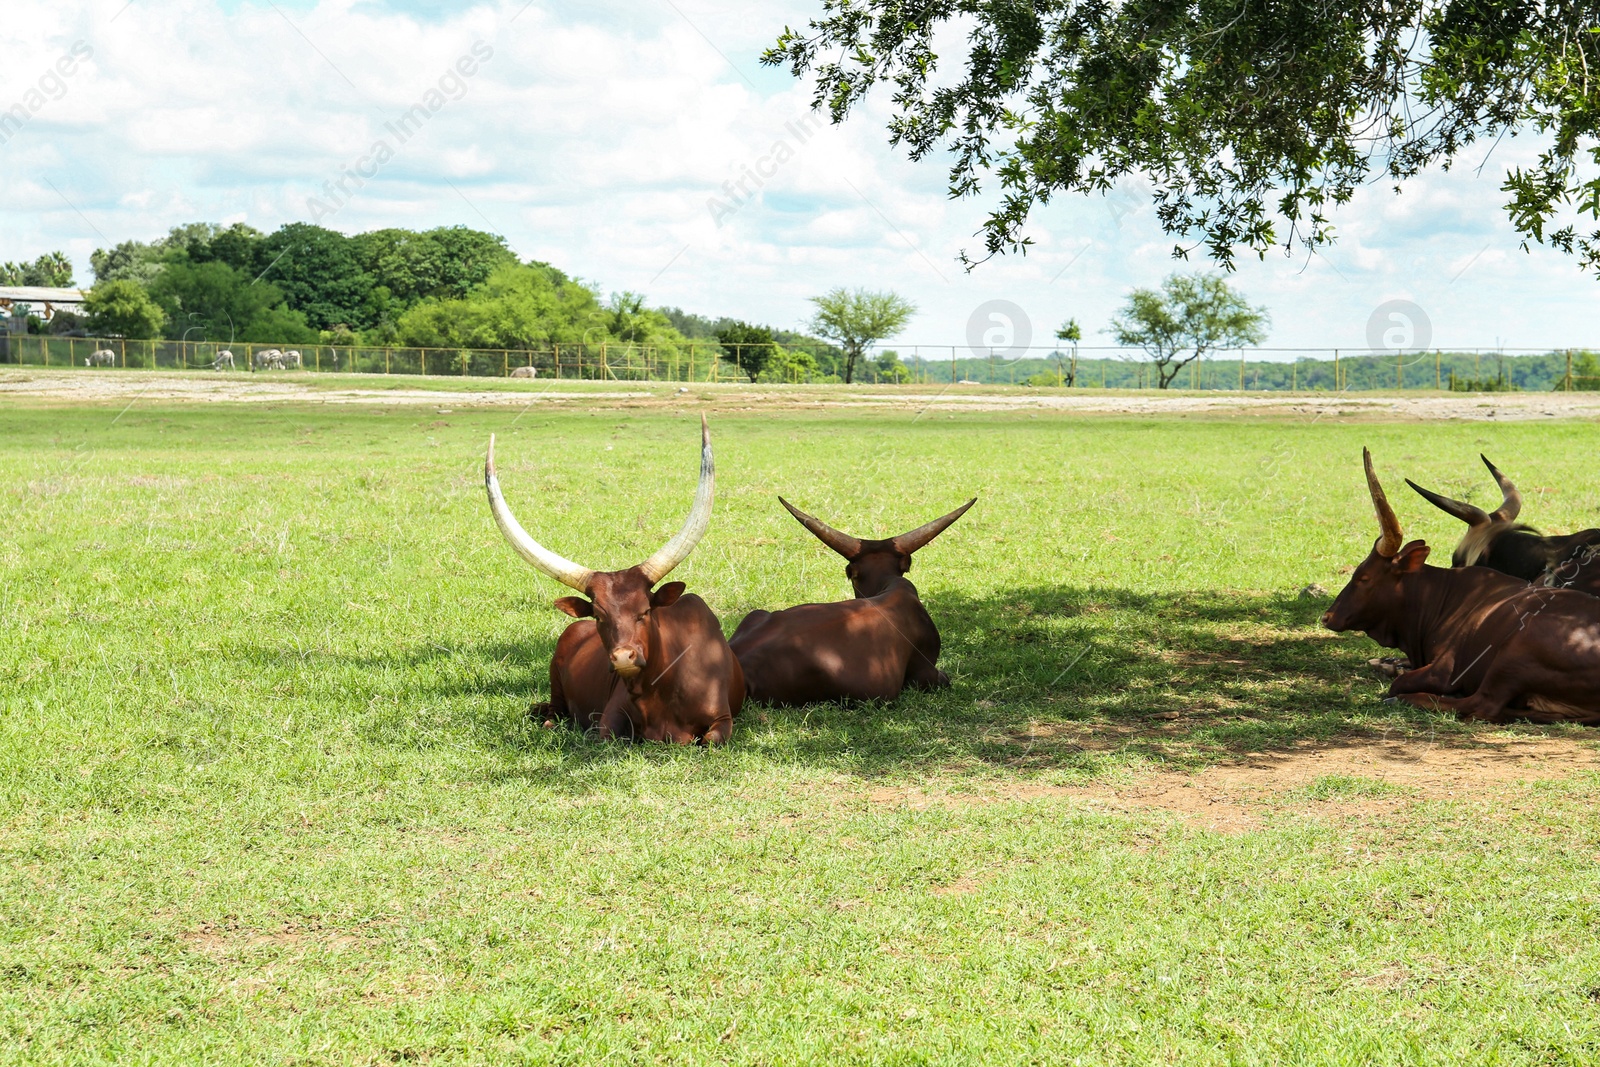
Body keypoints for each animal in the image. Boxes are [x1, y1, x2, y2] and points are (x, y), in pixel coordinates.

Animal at [483, 415, 745, 742]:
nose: (622, 658)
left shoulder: (722, 719)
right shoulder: (608, 718)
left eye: (645, 612)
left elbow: (711, 740)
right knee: (550, 712)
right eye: (598, 615)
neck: (664, 687)